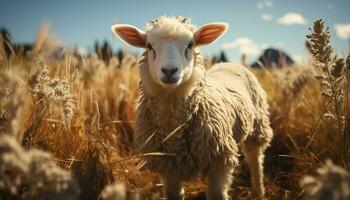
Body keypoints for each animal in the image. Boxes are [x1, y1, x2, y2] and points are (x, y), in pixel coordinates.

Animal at [111, 16, 274, 200]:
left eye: (190, 45)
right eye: (149, 46)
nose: (169, 70)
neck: (174, 133)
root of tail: (228, 63)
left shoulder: (220, 160)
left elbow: (217, 194)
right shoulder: (168, 164)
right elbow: (174, 193)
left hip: (257, 126)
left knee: (255, 159)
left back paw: (259, 191)